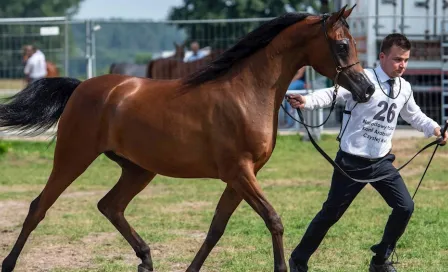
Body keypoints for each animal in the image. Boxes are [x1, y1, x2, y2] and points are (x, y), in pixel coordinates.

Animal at [1, 6, 374, 272]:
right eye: (342, 44)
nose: (366, 89)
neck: (247, 92)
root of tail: (81, 87)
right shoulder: (240, 173)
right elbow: (273, 220)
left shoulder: (239, 178)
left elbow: (216, 229)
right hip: (73, 157)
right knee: (39, 207)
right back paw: (9, 263)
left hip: (138, 169)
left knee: (110, 205)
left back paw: (145, 258)